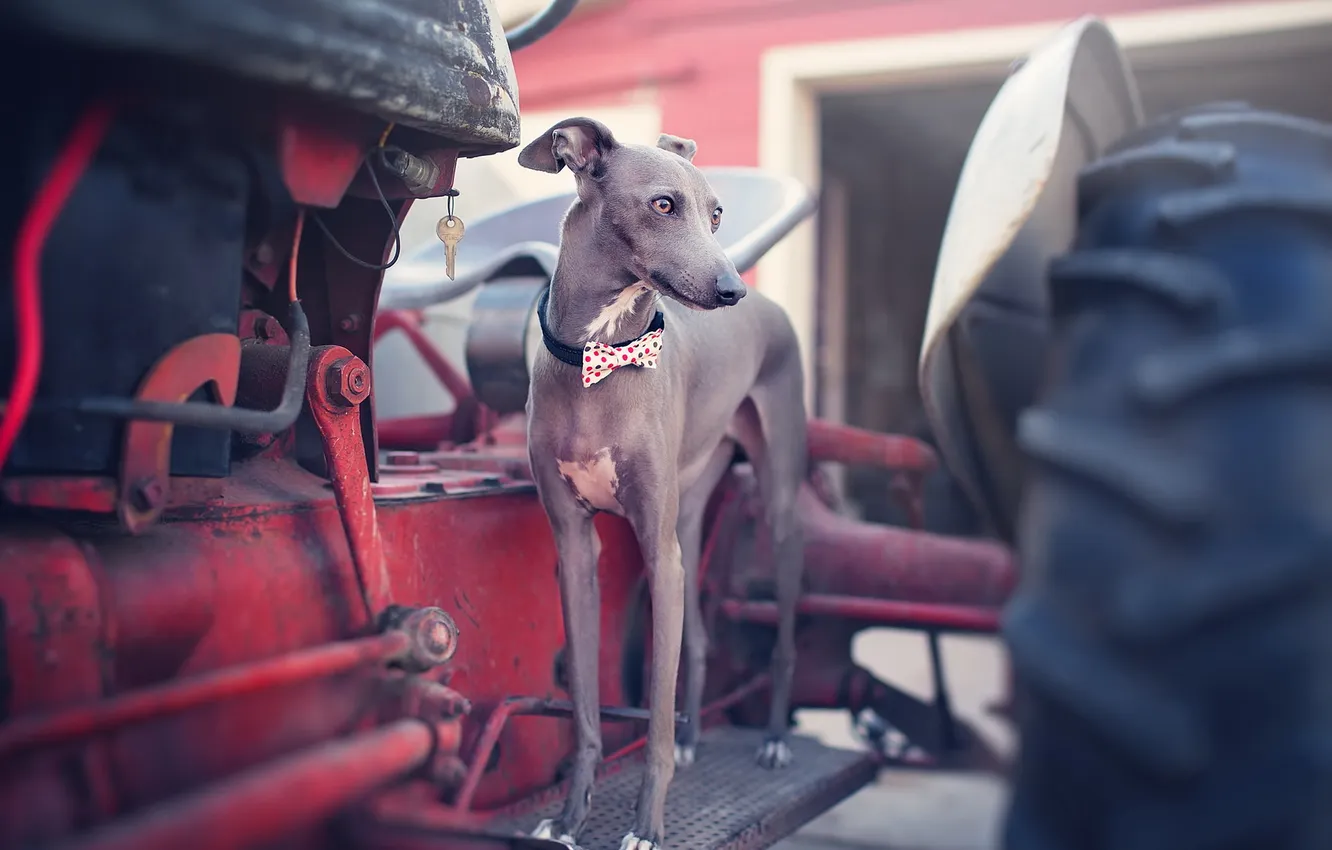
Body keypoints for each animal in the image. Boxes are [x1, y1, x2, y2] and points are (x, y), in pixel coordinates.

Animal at [519, 116, 804, 847]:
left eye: (718, 212)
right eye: (663, 205)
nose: (731, 290)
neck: (600, 356)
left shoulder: (657, 552)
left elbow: (651, 720)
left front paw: (646, 826)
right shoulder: (575, 549)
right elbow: (587, 712)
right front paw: (569, 817)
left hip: (776, 505)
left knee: (782, 633)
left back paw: (773, 739)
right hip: (691, 512)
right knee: (698, 642)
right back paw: (696, 735)